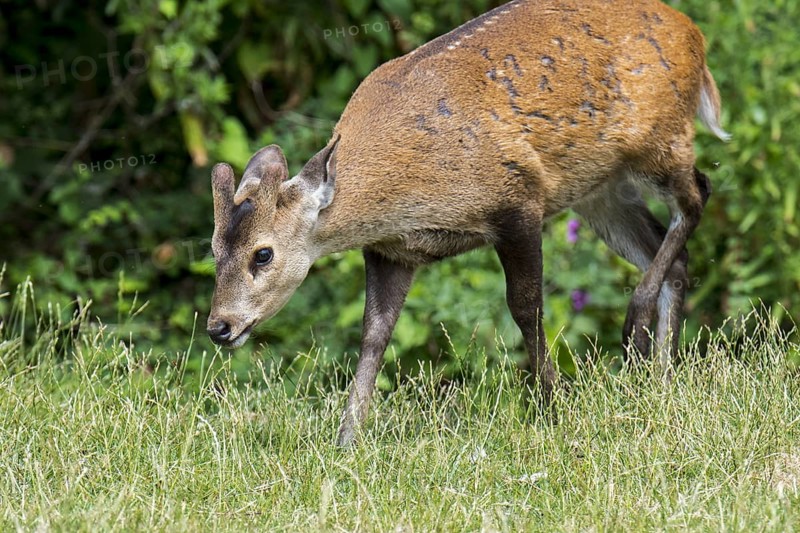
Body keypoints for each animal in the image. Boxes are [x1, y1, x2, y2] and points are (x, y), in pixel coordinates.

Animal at [207, 0, 729, 446]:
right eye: (213, 251)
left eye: (263, 253)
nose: (218, 327)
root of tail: (695, 36)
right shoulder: (391, 250)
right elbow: (374, 335)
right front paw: (346, 443)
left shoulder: (518, 200)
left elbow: (526, 308)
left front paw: (554, 408)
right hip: (600, 188)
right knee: (673, 253)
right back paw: (660, 379)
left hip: (659, 137)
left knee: (699, 193)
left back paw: (636, 326)